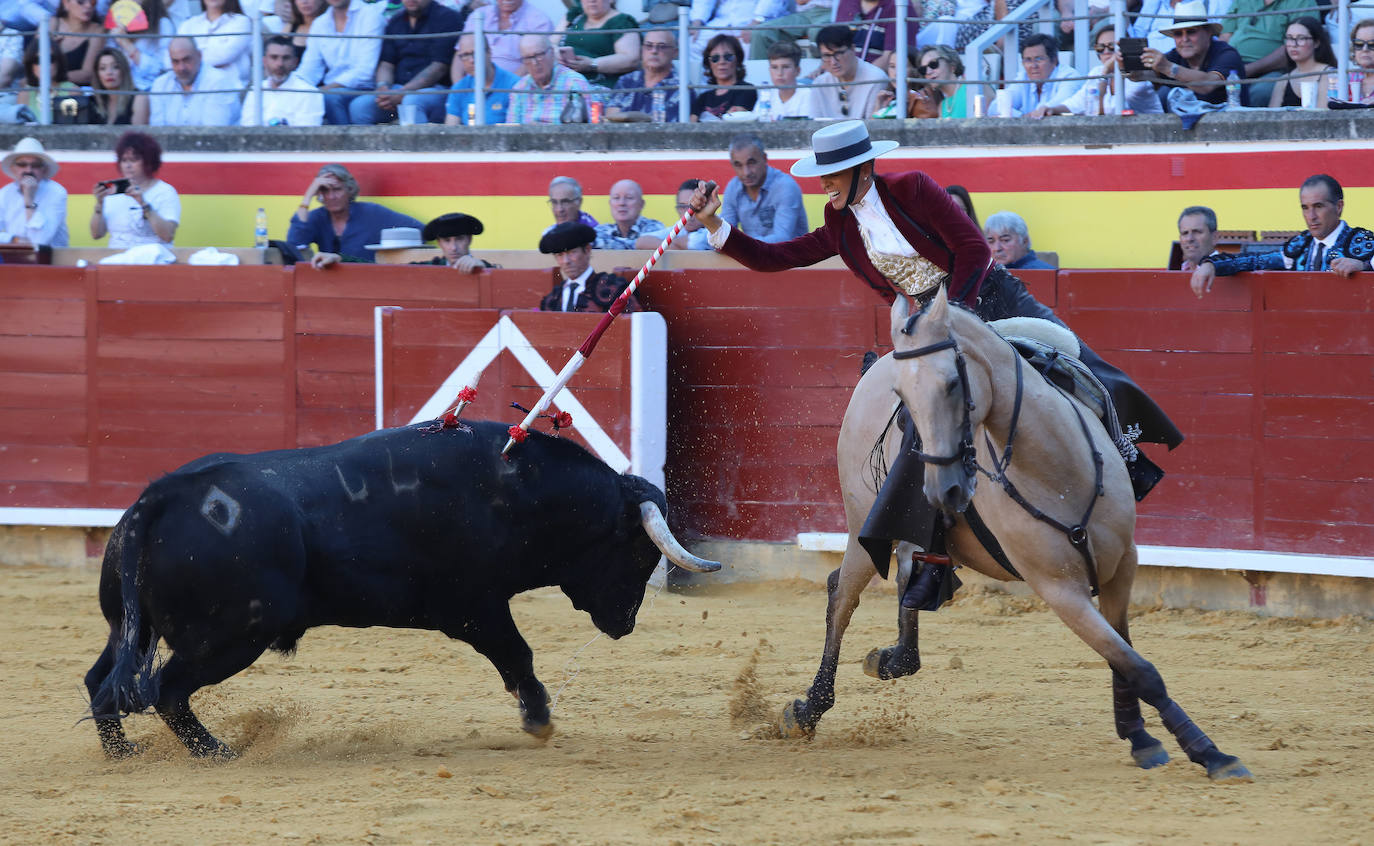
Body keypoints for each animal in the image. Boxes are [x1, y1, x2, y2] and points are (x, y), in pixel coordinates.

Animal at [85, 420, 719, 758]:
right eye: (638, 551)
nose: (624, 623)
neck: (513, 491)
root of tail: (160, 496)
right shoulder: (475, 607)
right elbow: (518, 656)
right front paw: (539, 721)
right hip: (230, 637)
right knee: (166, 690)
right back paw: (219, 753)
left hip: (132, 630)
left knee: (102, 683)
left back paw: (125, 754)